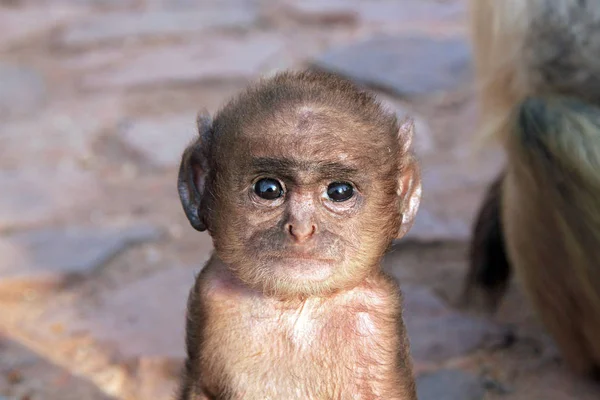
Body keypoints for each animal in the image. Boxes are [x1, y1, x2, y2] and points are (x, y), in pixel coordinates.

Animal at [176, 70, 422, 398]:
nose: (301, 229)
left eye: (339, 192)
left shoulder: (377, 314)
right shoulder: (211, 294)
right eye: (268, 189)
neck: (295, 307)